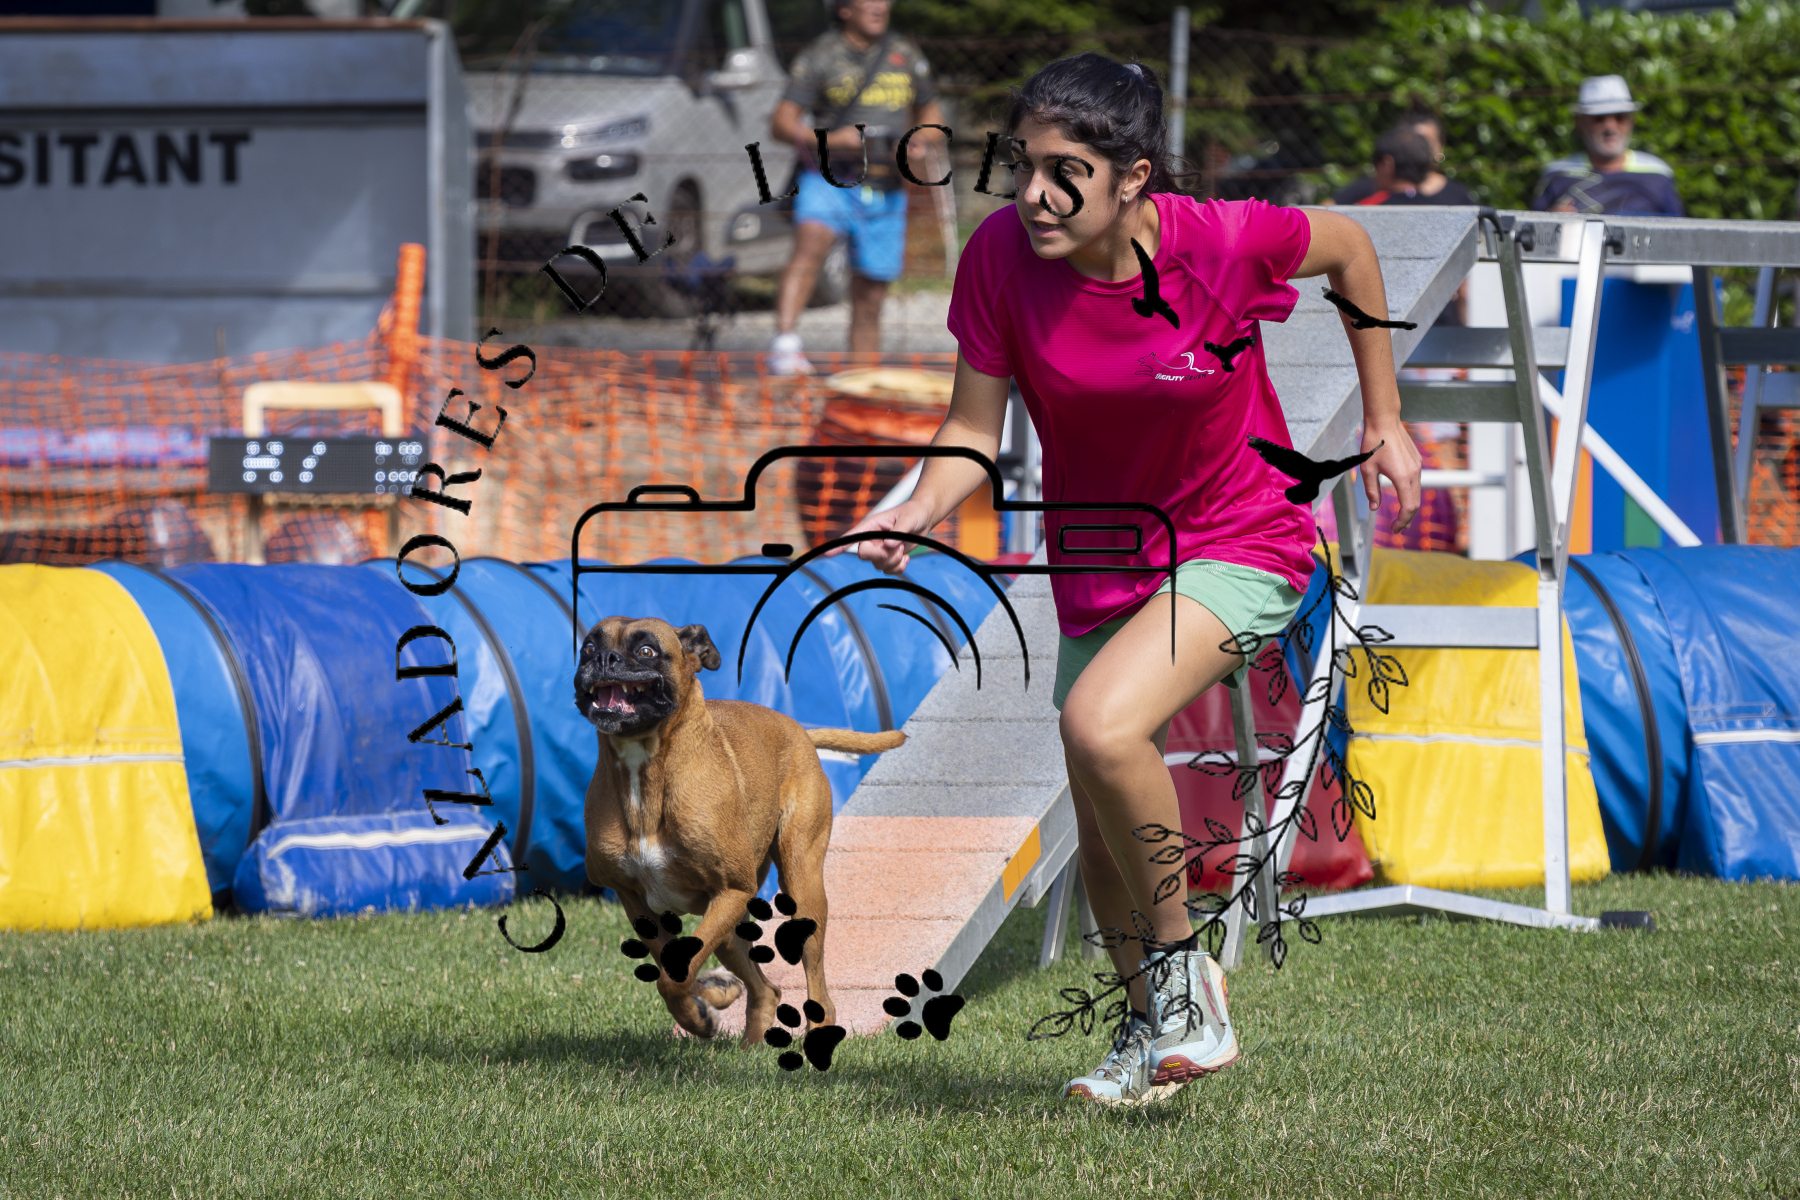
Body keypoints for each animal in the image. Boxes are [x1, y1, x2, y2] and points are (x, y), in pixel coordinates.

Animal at [575, 616, 904, 1045]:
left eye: (646, 650)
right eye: (587, 647)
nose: (603, 659)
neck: (646, 769)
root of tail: (801, 732)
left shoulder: (730, 889)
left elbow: (673, 980)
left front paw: (697, 1016)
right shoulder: (637, 902)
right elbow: (674, 969)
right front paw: (705, 1004)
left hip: (800, 890)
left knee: (816, 981)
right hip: (731, 928)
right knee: (766, 987)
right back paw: (746, 1035)